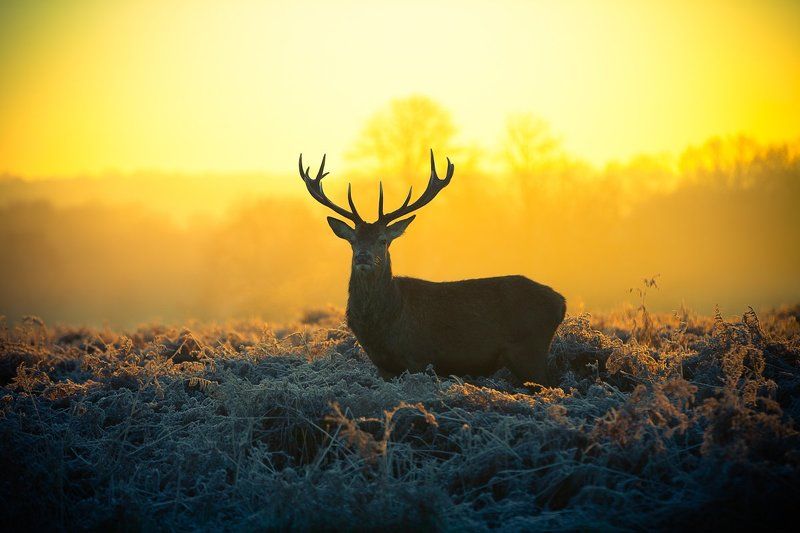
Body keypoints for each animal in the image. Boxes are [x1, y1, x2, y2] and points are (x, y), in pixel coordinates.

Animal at [298, 150, 566, 386]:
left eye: (383, 240)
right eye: (352, 241)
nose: (363, 257)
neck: (384, 323)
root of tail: (561, 302)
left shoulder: (418, 357)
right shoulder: (383, 366)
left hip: (529, 350)